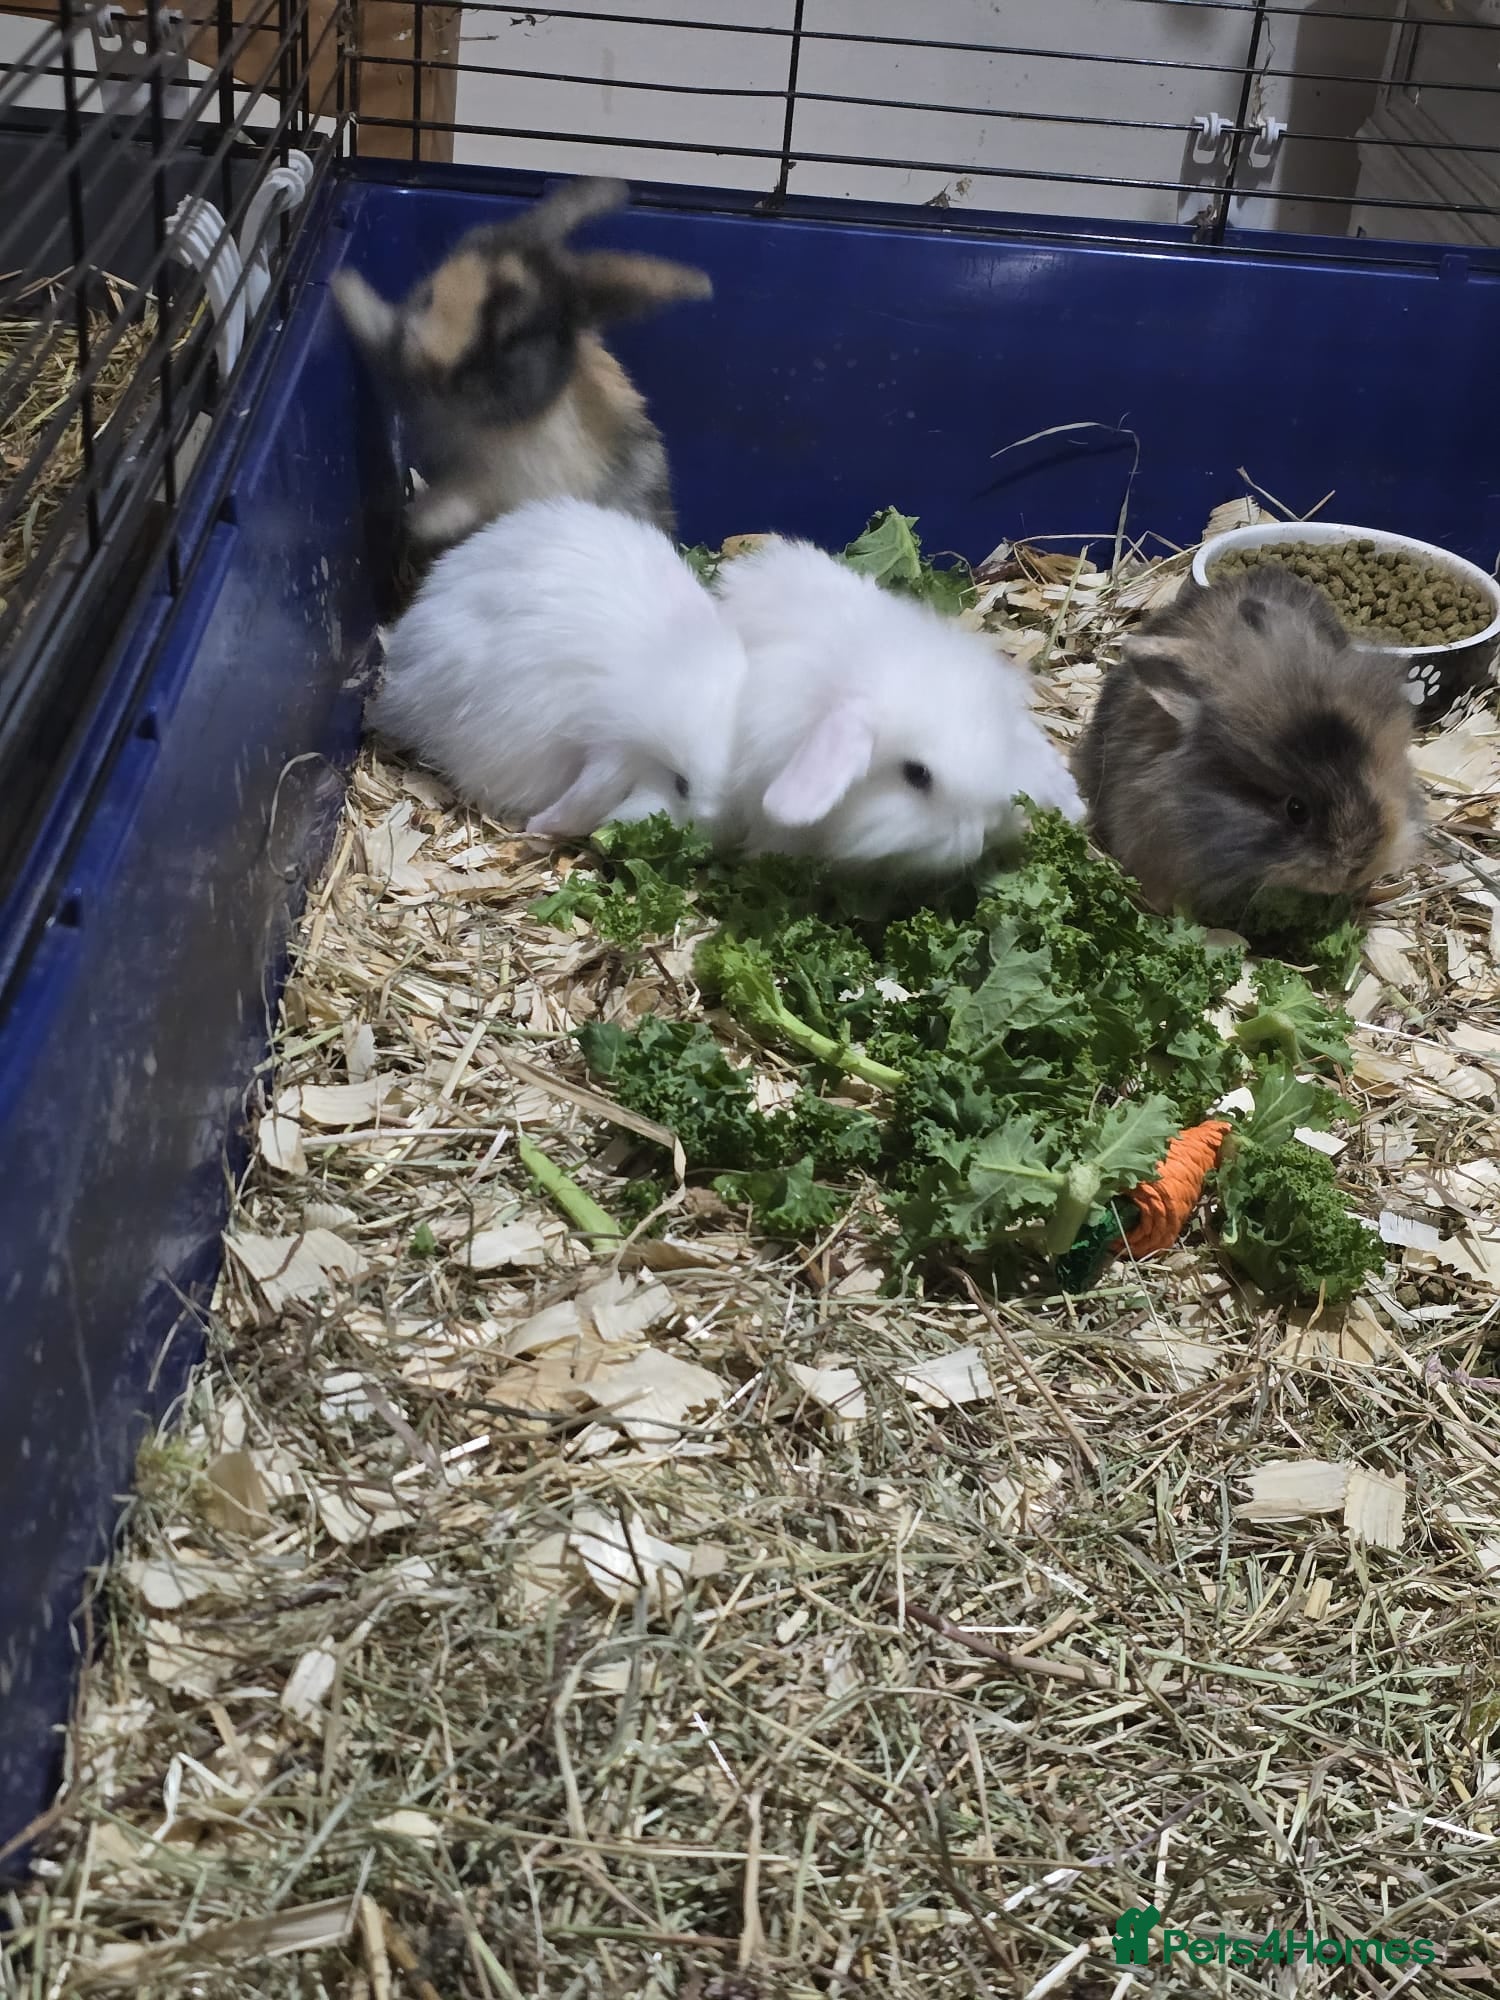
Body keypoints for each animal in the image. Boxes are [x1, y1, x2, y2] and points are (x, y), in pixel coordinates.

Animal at [331, 176, 712, 557]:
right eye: (429, 296)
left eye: (511, 339)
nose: (431, 363)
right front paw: (344, 285)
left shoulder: (501, 484)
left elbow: (461, 502)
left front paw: (421, 521)